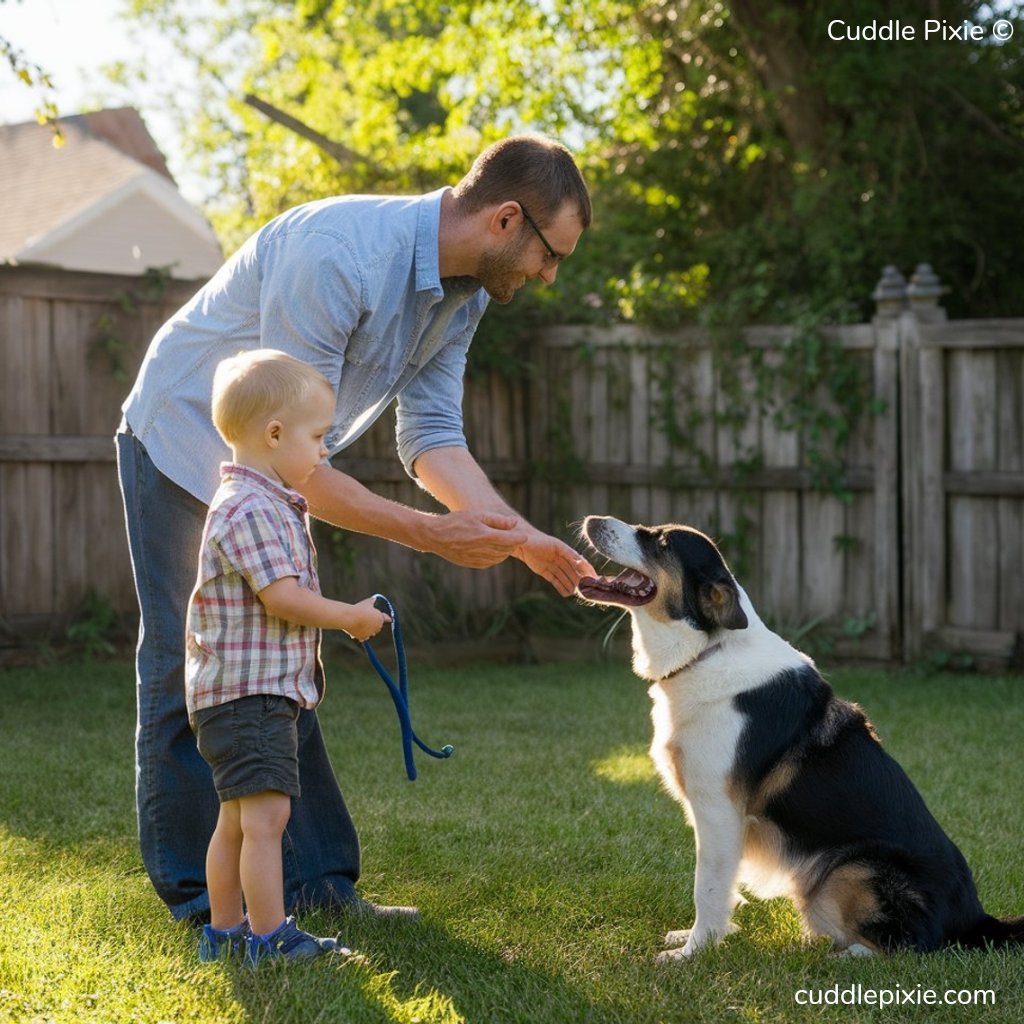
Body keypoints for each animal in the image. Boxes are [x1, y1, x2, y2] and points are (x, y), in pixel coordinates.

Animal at [581, 520, 1019, 958]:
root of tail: (977, 919)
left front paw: (692, 952)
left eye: (661, 541)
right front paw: (706, 936)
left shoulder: (719, 810)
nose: (592, 521)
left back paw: (842, 956)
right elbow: (723, 889)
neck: (707, 649)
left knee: (909, 944)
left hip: (852, 868)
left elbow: (706, 888)